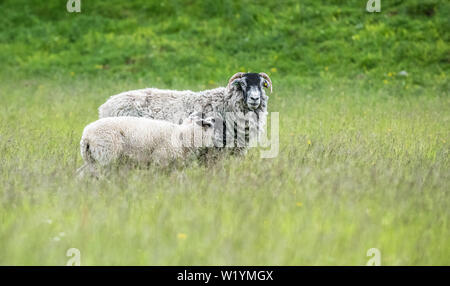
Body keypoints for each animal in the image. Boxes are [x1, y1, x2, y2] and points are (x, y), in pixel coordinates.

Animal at [77, 112, 216, 177]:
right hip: (106, 156)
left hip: (92, 158)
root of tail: (86, 136)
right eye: (208, 124)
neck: (182, 135)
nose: (214, 119)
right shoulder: (161, 160)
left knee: (82, 173)